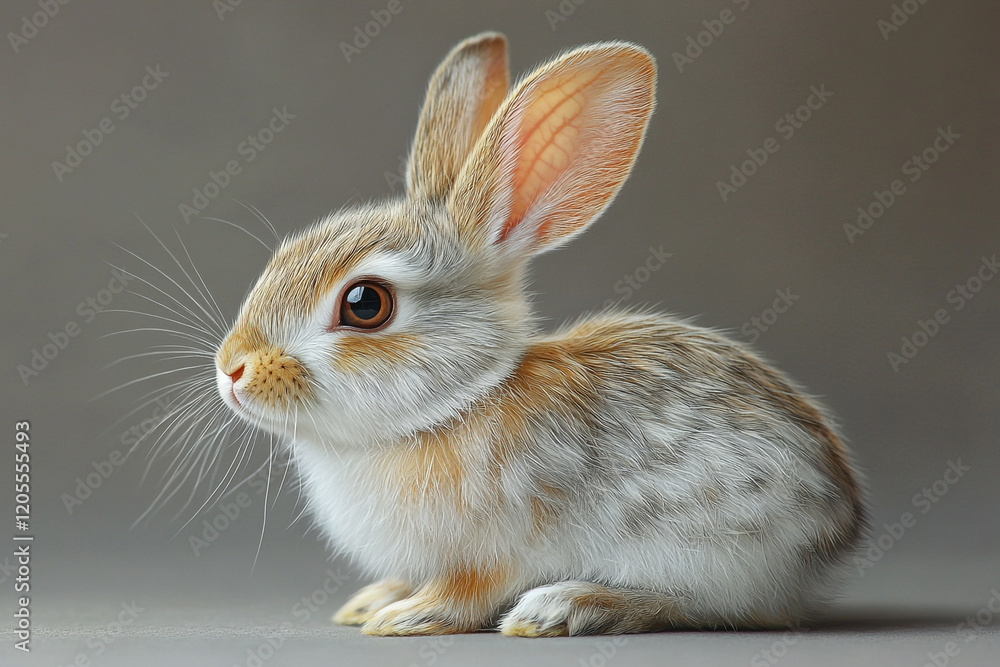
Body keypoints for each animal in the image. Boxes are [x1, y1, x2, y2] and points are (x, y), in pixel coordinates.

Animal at [214, 32, 866, 636]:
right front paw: (373, 602)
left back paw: (566, 607)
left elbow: (467, 590)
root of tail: (836, 527)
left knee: (699, 607)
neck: (459, 402)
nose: (232, 369)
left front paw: (407, 617)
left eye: (365, 303)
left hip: (712, 553)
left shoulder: (494, 548)